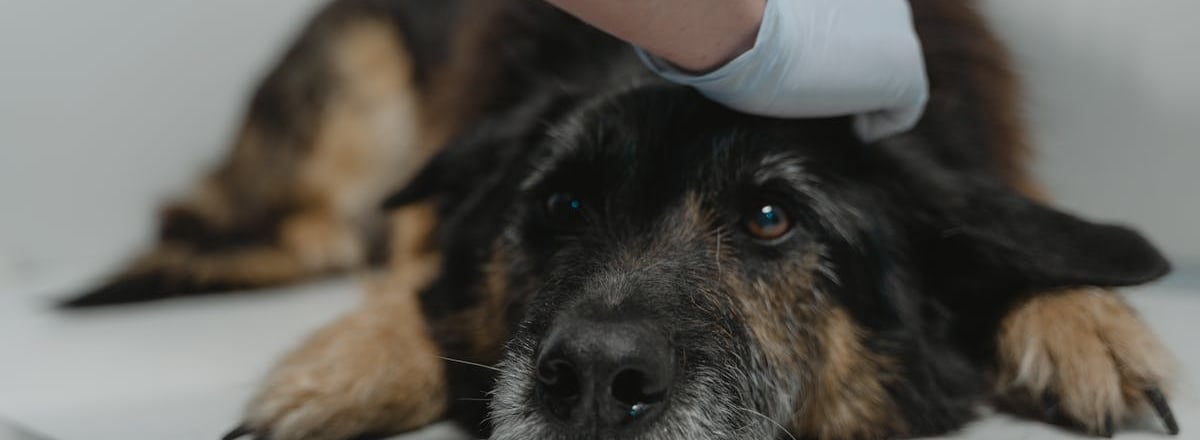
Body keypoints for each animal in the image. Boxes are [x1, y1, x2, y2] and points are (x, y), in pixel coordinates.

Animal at [60, 0, 1176, 440]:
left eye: (771, 217)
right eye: (560, 204)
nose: (595, 379)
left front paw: (1085, 321)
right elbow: (425, 265)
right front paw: (356, 361)